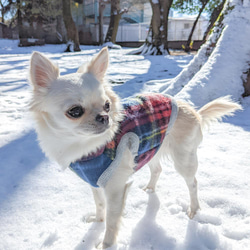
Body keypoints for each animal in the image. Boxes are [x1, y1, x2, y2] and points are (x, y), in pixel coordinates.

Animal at [28, 47, 242, 248]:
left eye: (107, 105)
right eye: (75, 111)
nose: (104, 117)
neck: (85, 146)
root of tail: (194, 111)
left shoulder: (115, 188)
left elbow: (112, 222)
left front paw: (106, 245)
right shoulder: (94, 181)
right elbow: (99, 204)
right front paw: (97, 221)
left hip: (184, 159)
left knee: (193, 183)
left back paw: (194, 210)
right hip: (151, 149)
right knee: (157, 169)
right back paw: (150, 188)